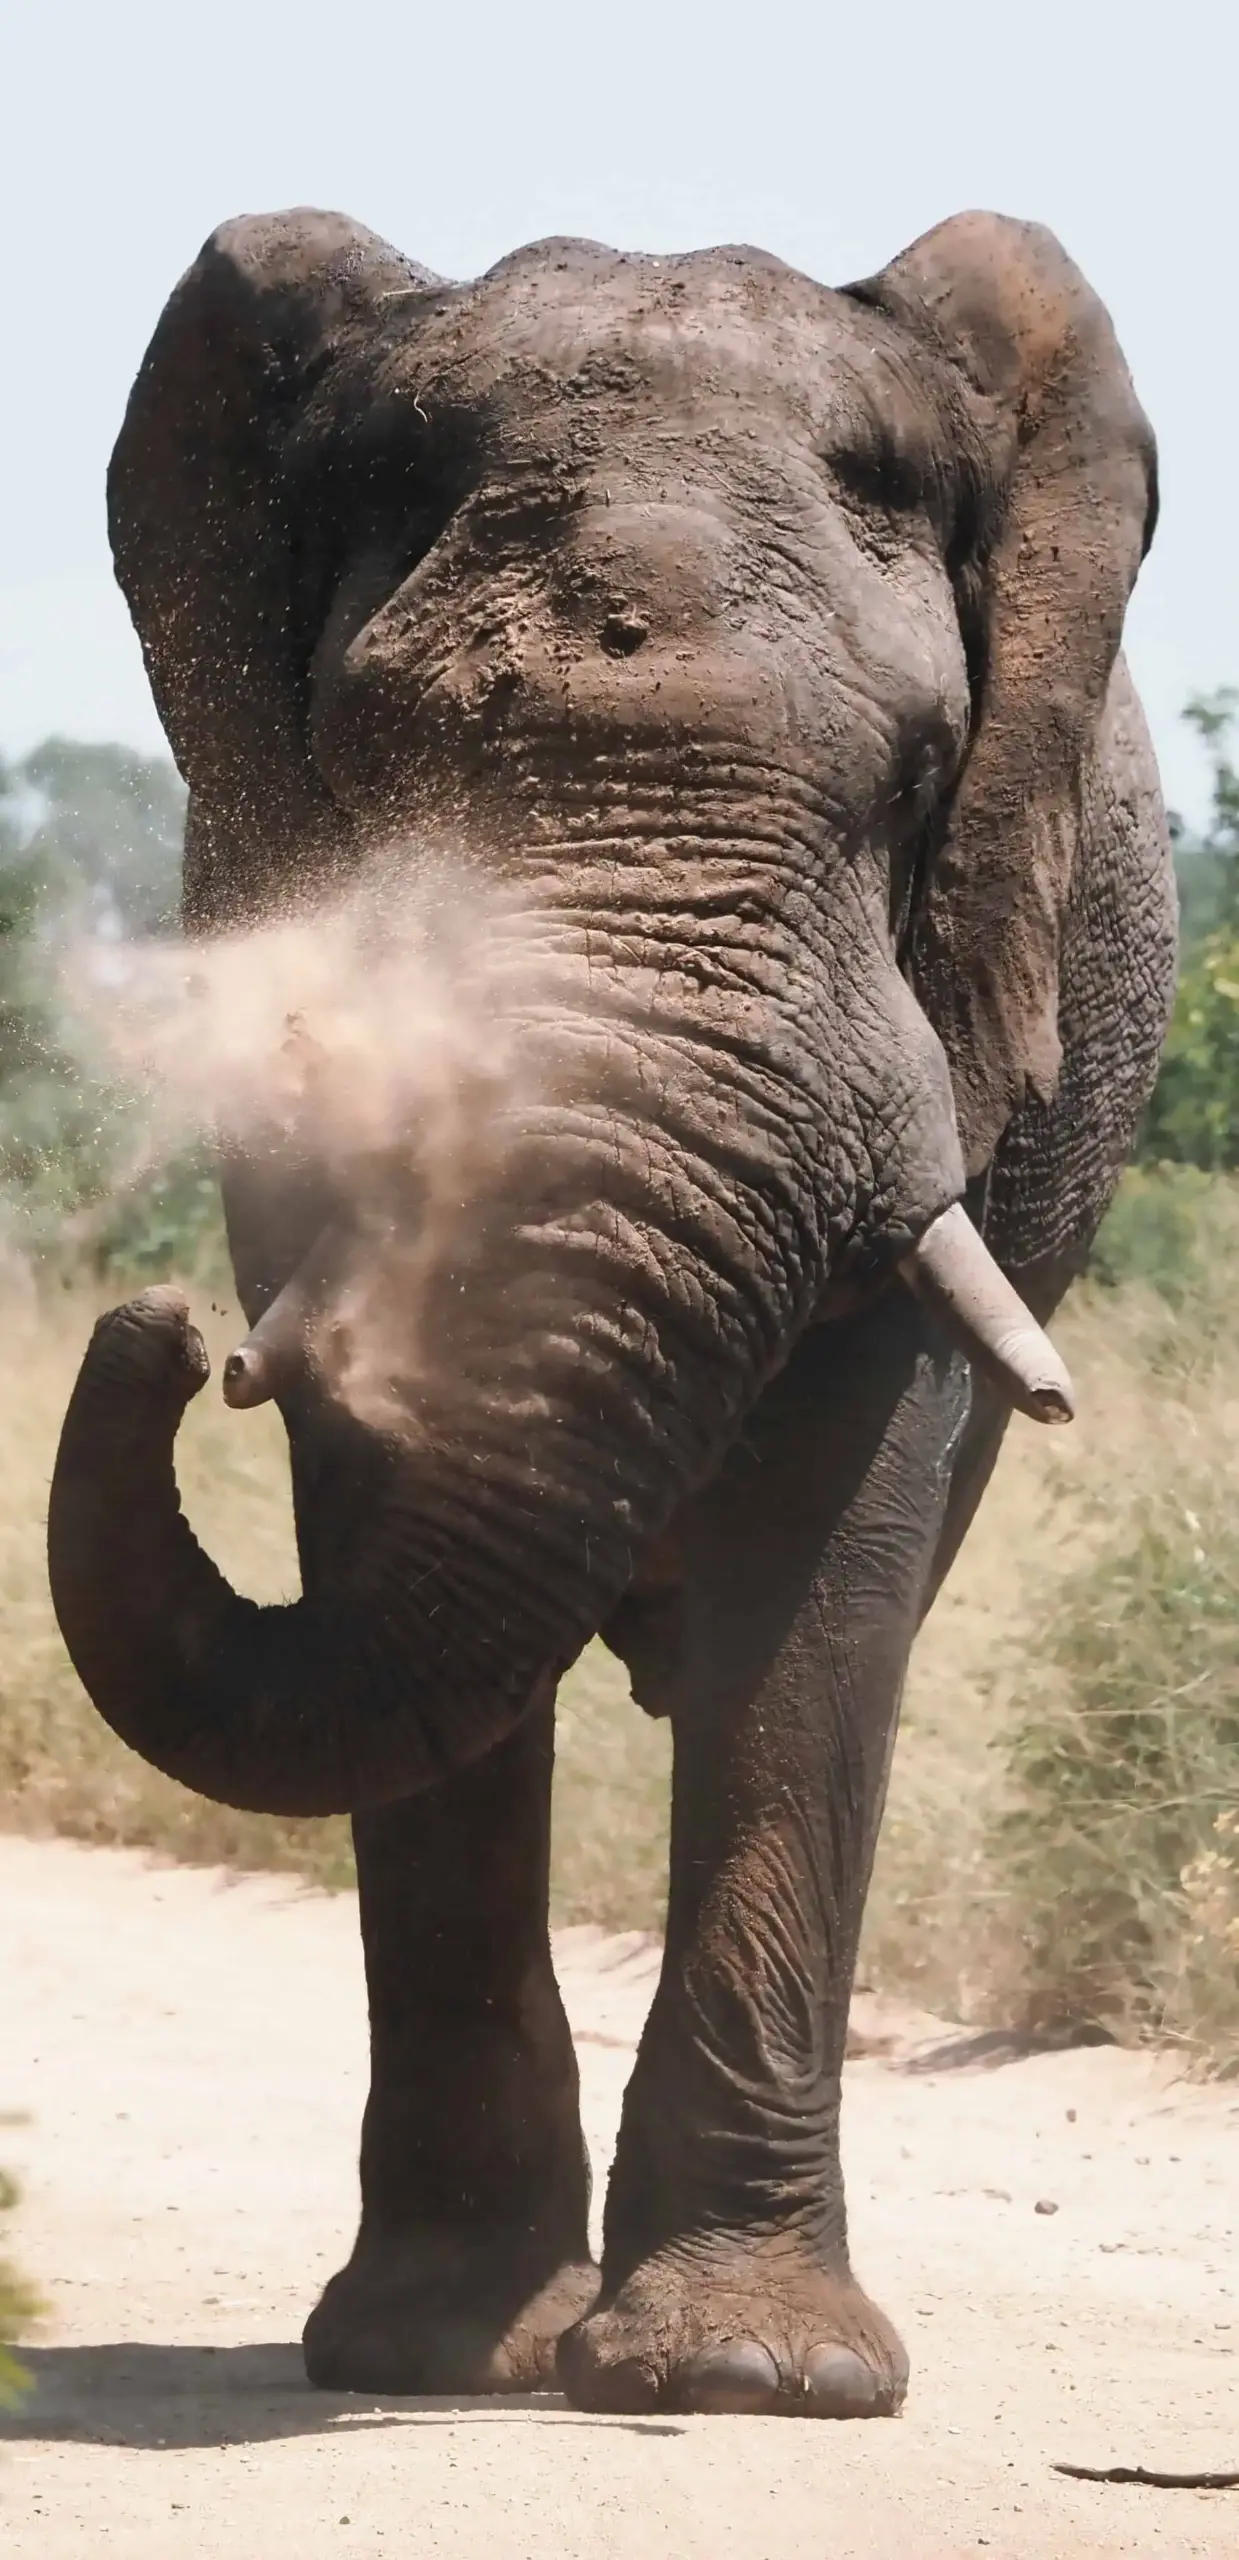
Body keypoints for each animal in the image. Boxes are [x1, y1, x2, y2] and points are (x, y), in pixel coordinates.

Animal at [47, 205, 1176, 2419]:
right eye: (372, 777)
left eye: (915, 782)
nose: (157, 1330)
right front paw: (438, 2351)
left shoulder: (945, 1034)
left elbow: (818, 1582)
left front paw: (741, 2375)